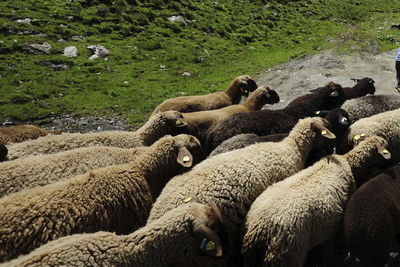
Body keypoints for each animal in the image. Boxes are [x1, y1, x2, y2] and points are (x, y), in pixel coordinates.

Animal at [241, 136, 390, 267]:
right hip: (287, 256)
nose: (391, 162)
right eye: (385, 148)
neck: (347, 163)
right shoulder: (333, 228)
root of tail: (259, 228)